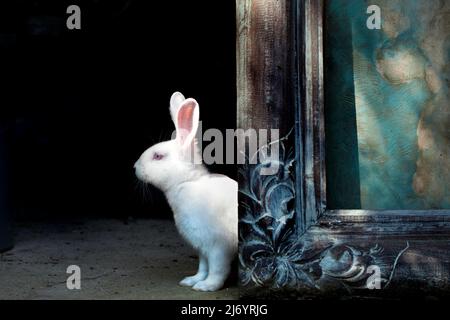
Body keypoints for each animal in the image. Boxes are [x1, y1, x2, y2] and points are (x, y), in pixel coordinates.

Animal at [134, 91, 237, 292]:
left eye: (158, 156)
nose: (135, 168)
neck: (187, 182)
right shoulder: (202, 248)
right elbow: (203, 267)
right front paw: (192, 281)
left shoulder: (218, 247)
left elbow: (217, 270)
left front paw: (206, 286)